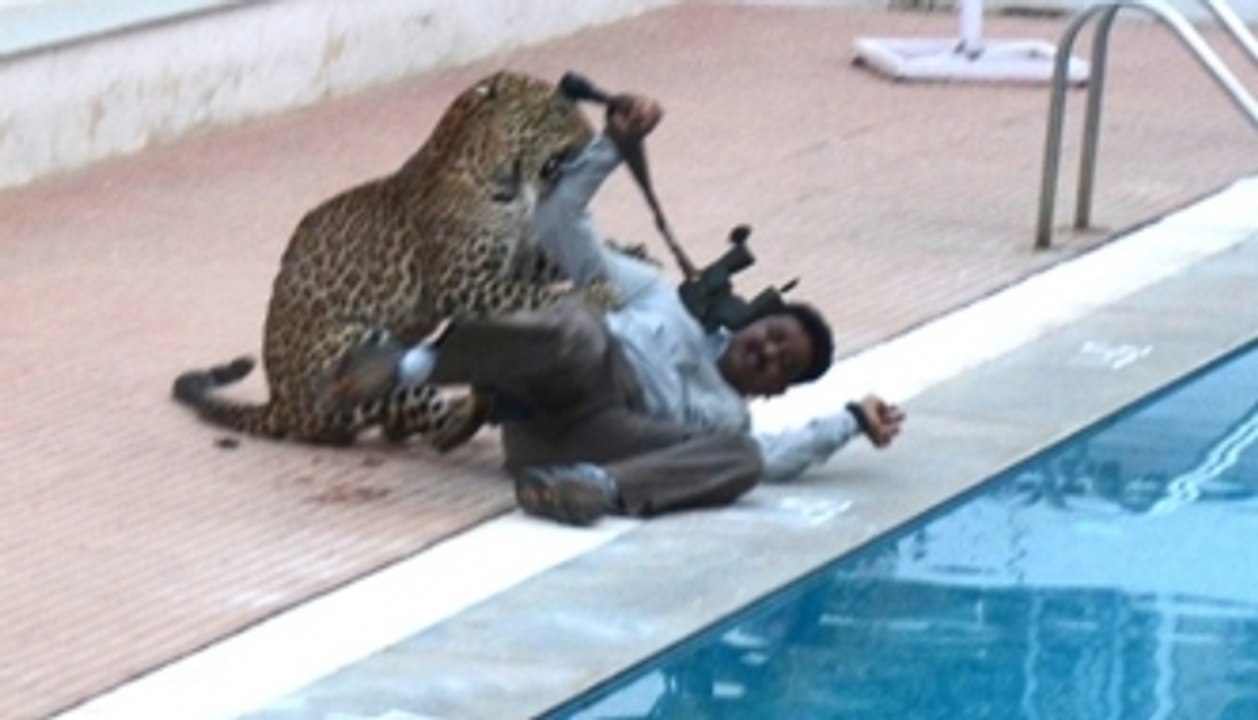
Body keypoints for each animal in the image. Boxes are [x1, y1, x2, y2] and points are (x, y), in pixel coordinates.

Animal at [172, 70, 615, 449]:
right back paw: (474, 402)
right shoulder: (464, 283)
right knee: (434, 427)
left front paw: (619, 252)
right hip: (359, 354)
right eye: (556, 114)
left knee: (404, 424)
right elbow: (537, 295)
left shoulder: (517, 255)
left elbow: (550, 264)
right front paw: (598, 292)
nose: (593, 137)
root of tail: (279, 404)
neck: (505, 178)